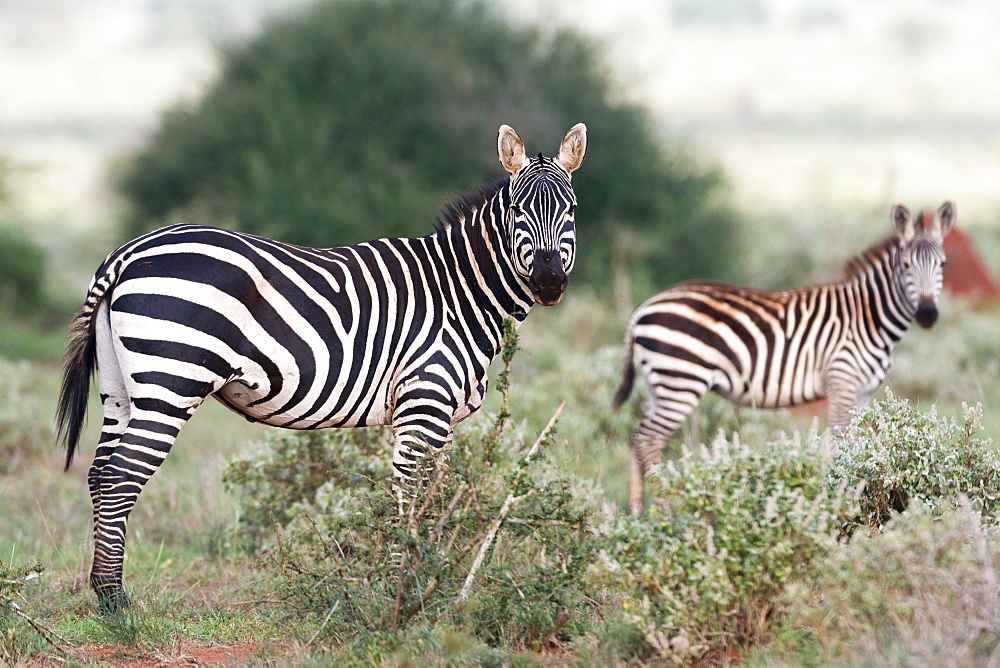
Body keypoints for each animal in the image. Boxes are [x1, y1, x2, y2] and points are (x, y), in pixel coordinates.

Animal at [56, 121, 584, 612]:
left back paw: (103, 590)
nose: (549, 283)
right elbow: (409, 496)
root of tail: (128, 252)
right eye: (517, 212)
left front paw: (430, 579)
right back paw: (115, 602)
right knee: (122, 475)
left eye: (572, 211)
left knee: (99, 473)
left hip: (121, 389)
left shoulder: (443, 417)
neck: (459, 290)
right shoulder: (424, 402)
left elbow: (435, 498)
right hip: (171, 382)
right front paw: (404, 588)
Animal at [612, 201, 956, 516]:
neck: (867, 317)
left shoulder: (863, 393)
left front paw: (859, 493)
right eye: (906, 266)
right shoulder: (841, 381)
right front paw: (841, 501)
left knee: (637, 438)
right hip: (682, 381)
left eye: (942, 265)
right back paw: (669, 508)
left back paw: (636, 513)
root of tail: (644, 306)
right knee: (649, 441)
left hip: (661, 384)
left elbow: (857, 447)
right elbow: (840, 445)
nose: (927, 314)